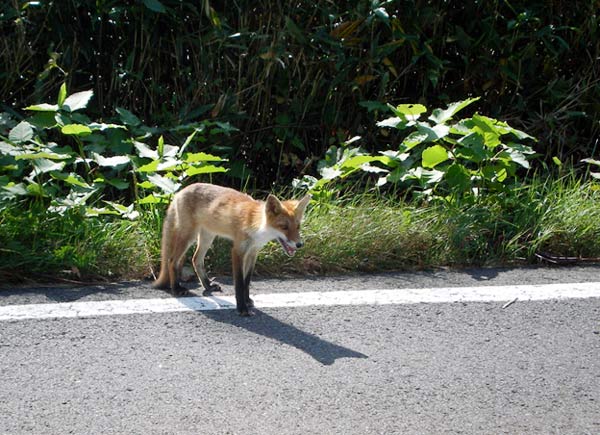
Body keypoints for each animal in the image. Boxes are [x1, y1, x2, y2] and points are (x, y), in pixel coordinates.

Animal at [152, 184, 312, 316]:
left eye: (298, 227)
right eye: (284, 227)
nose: (299, 244)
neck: (255, 226)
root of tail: (180, 191)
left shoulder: (253, 252)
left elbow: (247, 282)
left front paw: (247, 300)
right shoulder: (238, 251)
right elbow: (239, 284)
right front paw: (242, 308)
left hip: (207, 236)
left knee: (196, 259)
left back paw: (208, 285)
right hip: (189, 236)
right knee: (172, 260)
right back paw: (176, 288)